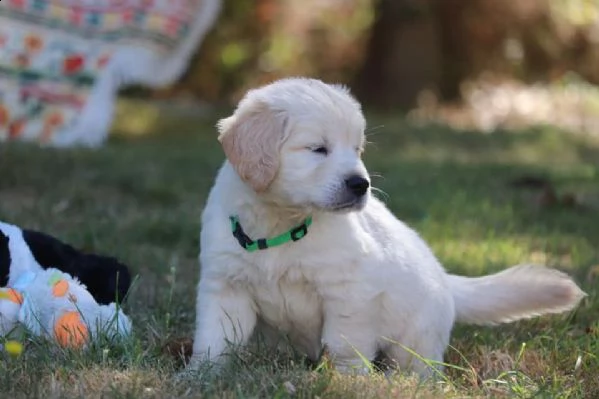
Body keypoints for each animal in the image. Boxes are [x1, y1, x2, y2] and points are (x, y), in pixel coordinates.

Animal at [191, 78, 584, 378]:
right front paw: (199, 378)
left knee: (419, 367)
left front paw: (348, 382)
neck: (281, 222)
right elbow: (213, 340)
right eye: (318, 149)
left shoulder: (350, 293)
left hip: (416, 339)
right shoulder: (226, 287)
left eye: (357, 149)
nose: (360, 184)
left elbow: (344, 344)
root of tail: (447, 281)